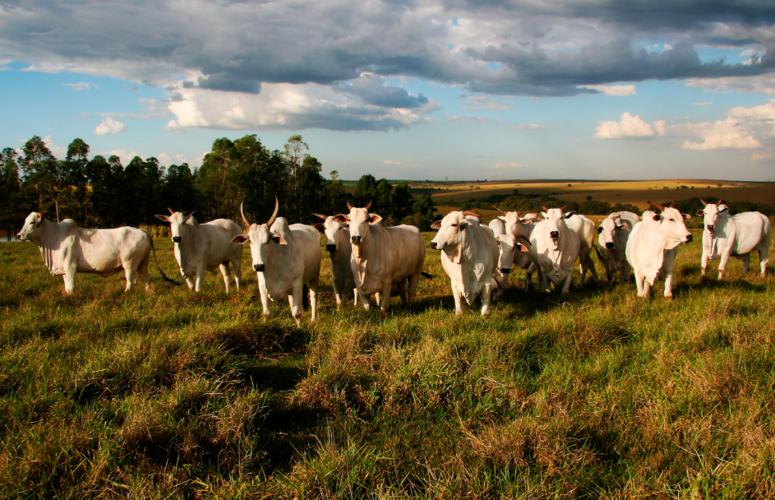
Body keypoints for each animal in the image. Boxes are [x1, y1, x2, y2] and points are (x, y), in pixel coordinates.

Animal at [16, 213, 177, 294]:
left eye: (32, 222)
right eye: (24, 221)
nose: (18, 235)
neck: (54, 238)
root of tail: (145, 232)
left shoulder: (70, 266)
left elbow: (71, 286)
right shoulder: (63, 269)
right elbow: (67, 286)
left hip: (130, 263)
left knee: (131, 281)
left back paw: (125, 294)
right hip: (142, 263)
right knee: (146, 280)